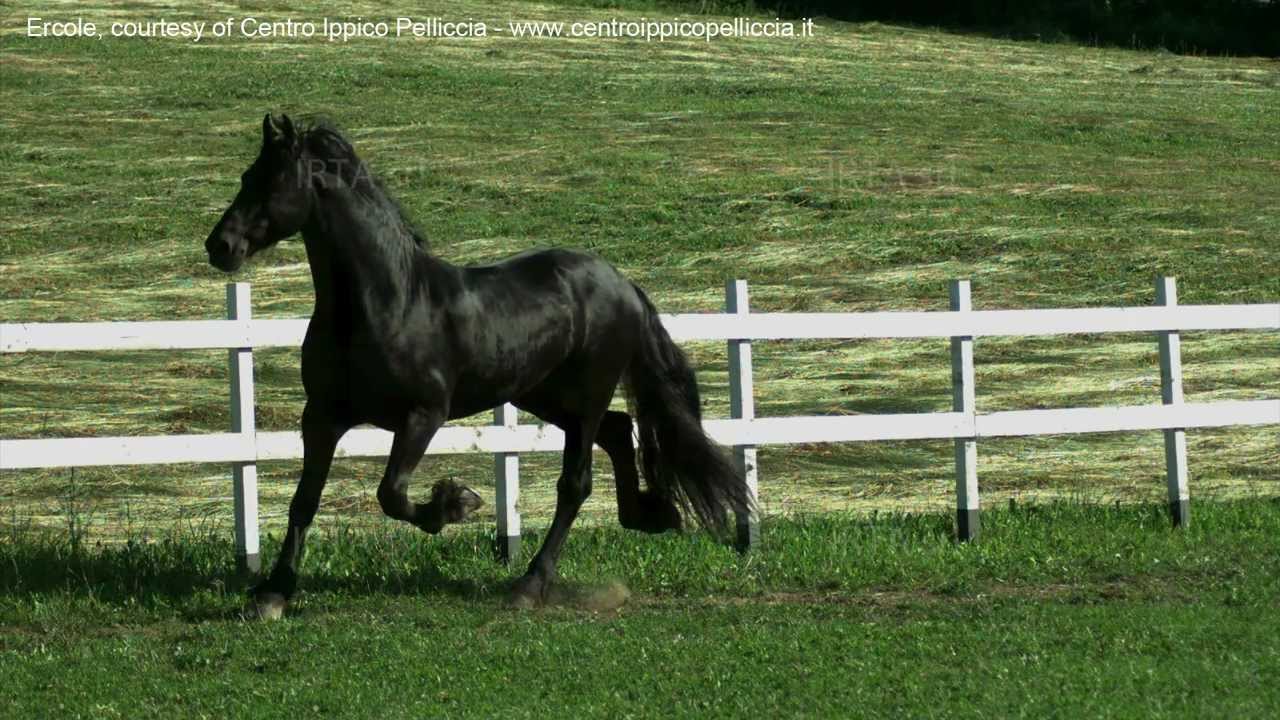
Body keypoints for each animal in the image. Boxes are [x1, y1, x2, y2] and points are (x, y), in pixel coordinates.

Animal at [204, 114, 752, 617]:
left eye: (273, 180)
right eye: (247, 175)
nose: (220, 246)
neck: (385, 303)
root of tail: (623, 284)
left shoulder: (423, 414)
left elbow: (391, 493)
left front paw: (456, 502)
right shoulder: (321, 416)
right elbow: (304, 501)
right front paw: (272, 594)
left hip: (586, 394)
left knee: (575, 483)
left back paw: (530, 585)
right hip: (544, 395)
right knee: (619, 430)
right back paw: (653, 514)